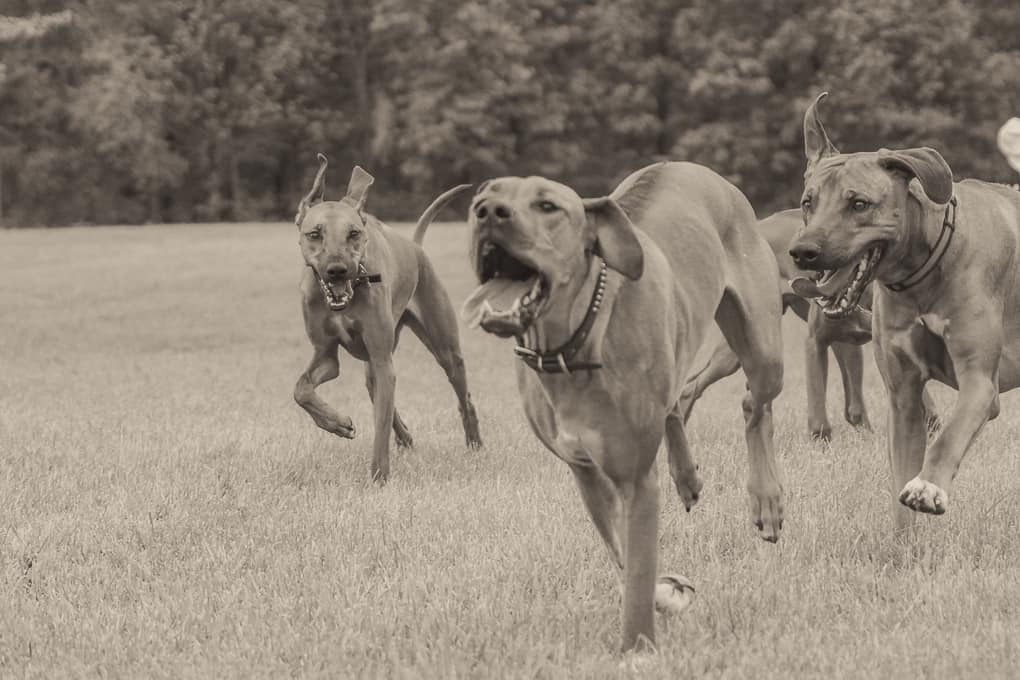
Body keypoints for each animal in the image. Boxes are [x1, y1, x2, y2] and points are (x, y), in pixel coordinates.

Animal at [291, 153, 481, 483]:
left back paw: (474, 444)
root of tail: (415, 245)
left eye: (353, 234)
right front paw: (337, 423)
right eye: (314, 234)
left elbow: (379, 427)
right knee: (377, 390)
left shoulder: (381, 359)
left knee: (462, 396)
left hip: (444, 347)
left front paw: (379, 476)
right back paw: (405, 437)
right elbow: (301, 390)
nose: (337, 270)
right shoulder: (326, 355)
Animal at [459, 163, 783, 652]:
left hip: (764, 349)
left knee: (754, 407)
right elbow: (624, 554)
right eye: (482, 198)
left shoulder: (636, 479)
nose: (487, 213)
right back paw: (686, 477)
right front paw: (665, 592)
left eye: (547, 205)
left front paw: (638, 647)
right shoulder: (586, 472)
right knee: (678, 401)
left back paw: (766, 501)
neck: (572, 346)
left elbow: (639, 563)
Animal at [791, 93, 1020, 530]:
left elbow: (949, 435)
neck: (923, 271)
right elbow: (900, 484)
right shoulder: (903, 399)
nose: (803, 251)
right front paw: (902, 542)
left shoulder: (980, 383)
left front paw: (928, 487)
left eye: (859, 204)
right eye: (807, 203)